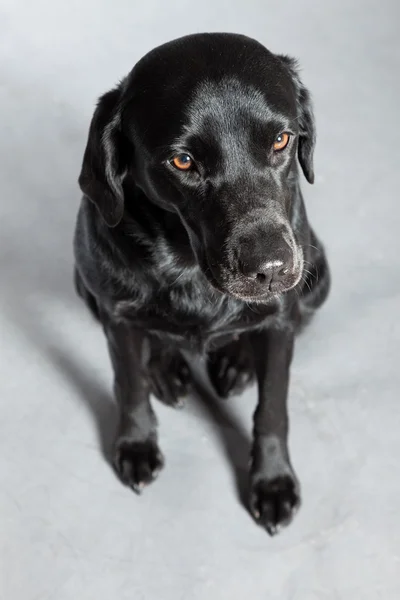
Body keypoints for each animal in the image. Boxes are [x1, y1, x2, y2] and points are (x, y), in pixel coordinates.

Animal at [73, 34, 330, 536]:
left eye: (281, 140)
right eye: (183, 160)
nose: (271, 268)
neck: (189, 266)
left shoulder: (282, 321)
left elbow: (273, 408)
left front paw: (272, 482)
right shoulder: (115, 315)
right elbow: (129, 383)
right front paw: (136, 444)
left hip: (317, 278)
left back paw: (237, 364)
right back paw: (166, 368)